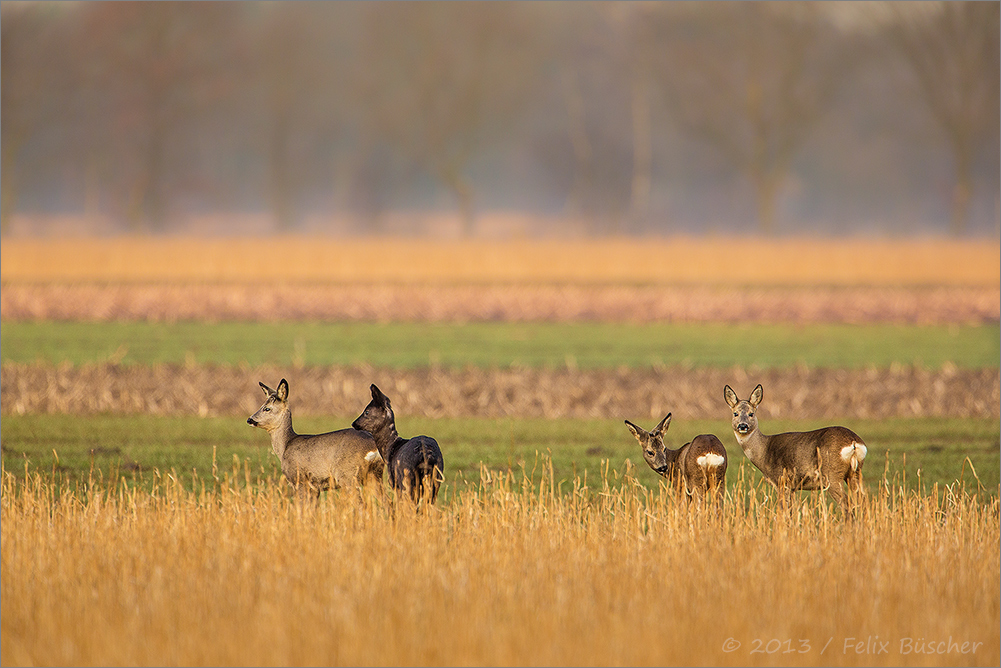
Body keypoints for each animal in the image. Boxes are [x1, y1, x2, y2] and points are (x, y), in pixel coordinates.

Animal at [248, 378, 384, 498]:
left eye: (267, 408)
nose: (250, 419)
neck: (286, 445)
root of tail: (373, 447)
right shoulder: (314, 488)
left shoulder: (299, 480)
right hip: (374, 475)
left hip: (348, 475)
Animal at [720, 384, 868, 516]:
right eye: (735, 413)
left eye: (751, 414)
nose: (742, 426)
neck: (764, 451)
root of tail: (854, 442)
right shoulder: (792, 487)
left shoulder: (782, 481)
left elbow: (784, 512)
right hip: (855, 473)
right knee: (862, 501)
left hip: (832, 475)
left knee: (847, 504)